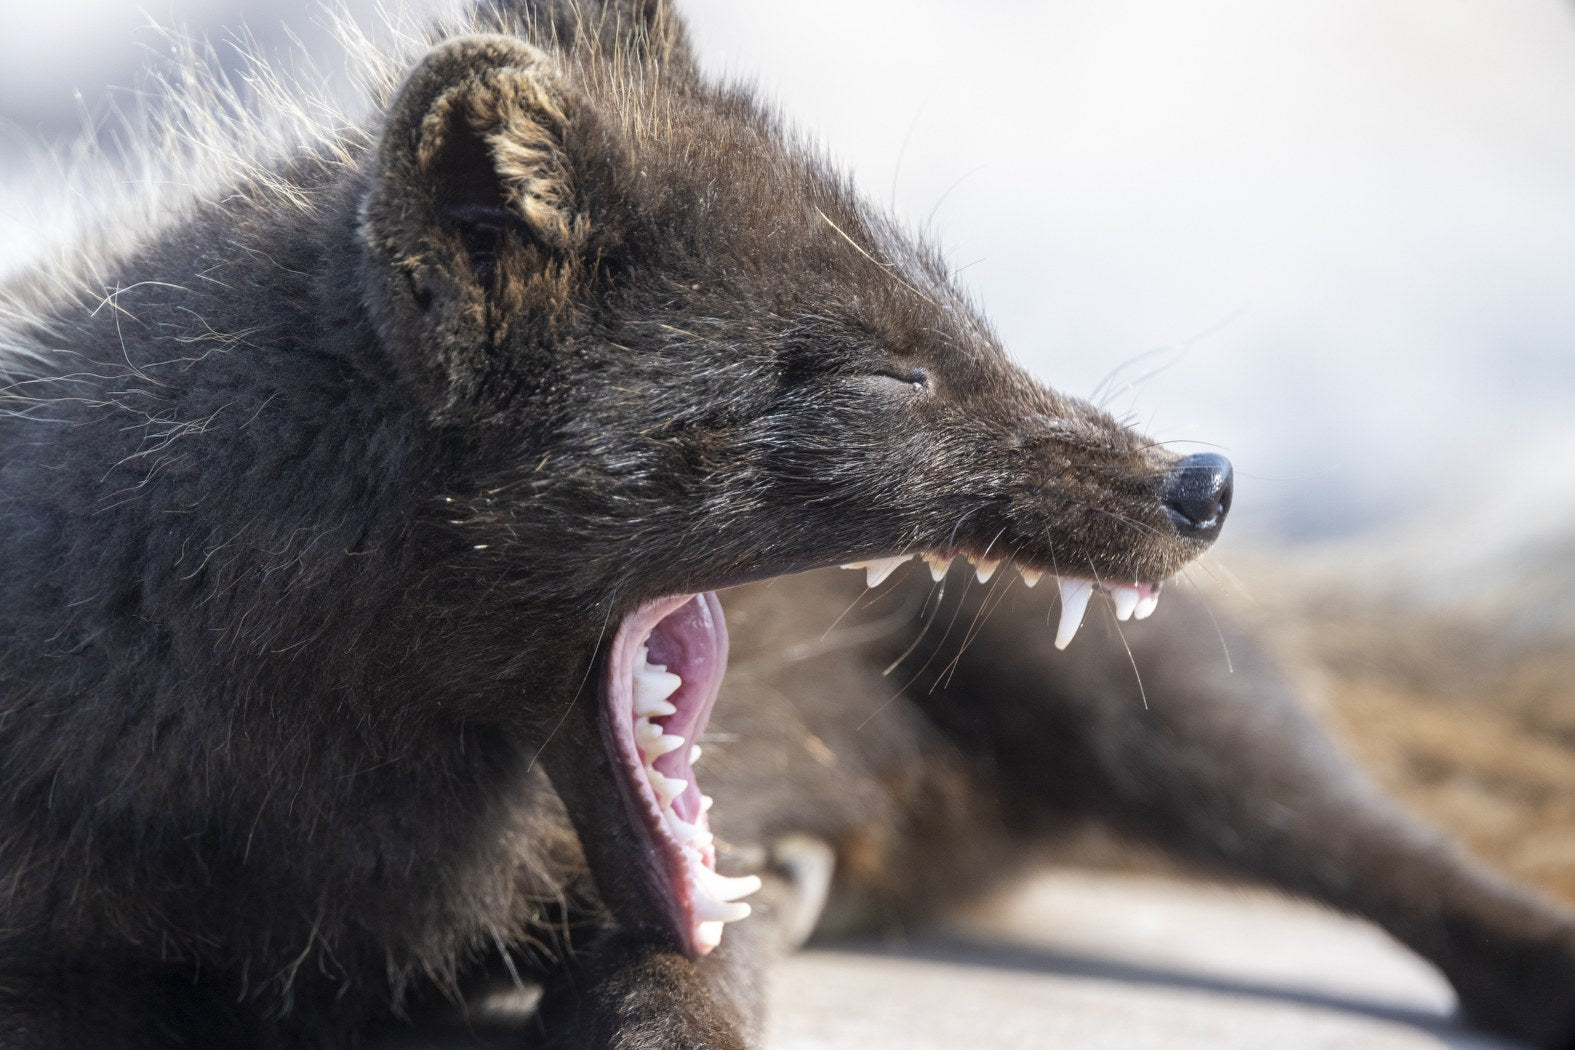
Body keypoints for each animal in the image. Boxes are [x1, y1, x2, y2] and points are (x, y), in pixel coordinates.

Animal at [0, 1, 1570, 1048]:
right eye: (888, 373)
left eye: (964, 316)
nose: (1204, 481)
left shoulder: (712, 862)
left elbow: (668, 986)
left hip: (1143, 705)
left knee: (1395, 853)